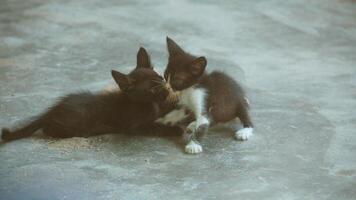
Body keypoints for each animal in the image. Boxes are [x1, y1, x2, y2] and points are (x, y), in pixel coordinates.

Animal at [1, 47, 174, 141]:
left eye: (160, 78)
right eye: (151, 90)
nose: (166, 90)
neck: (147, 104)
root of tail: (53, 110)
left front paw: (171, 103)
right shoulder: (134, 127)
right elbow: (155, 126)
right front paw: (172, 129)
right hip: (77, 120)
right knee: (49, 129)